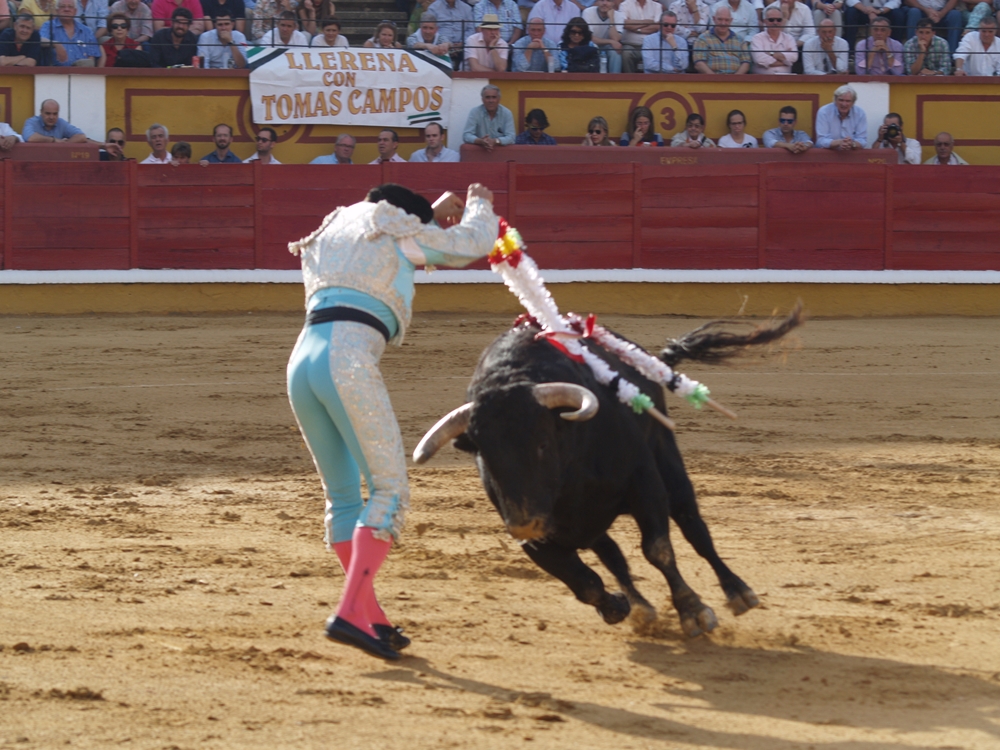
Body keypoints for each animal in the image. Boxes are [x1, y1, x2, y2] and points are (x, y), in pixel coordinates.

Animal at [414, 308, 804, 636]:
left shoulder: (644, 483)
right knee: (613, 555)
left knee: (694, 527)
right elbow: (583, 581)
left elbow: (658, 549)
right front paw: (618, 606)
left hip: (669, 466)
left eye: (542, 443)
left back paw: (738, 592)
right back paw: (640, 607)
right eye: (484, 454)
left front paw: (693, 610)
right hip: (590, 524)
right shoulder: (536, 537)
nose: (526, 523)